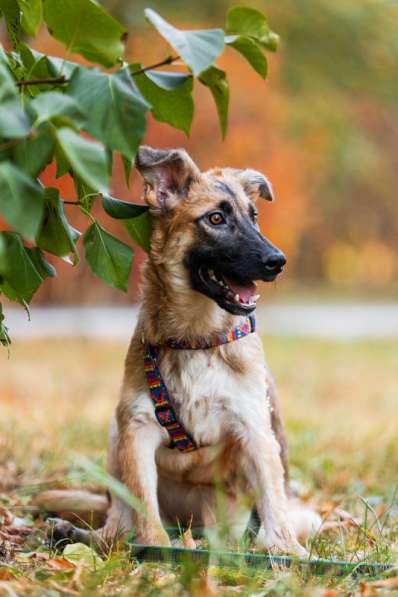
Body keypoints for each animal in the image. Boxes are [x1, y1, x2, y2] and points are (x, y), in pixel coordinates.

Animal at [52, 146, 320, 556]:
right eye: (216, 218)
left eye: (254, 217)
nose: (278, 261)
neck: (197, 338)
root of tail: (188, 522)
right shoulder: (138, 430)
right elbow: (144, 507)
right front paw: (156, 550)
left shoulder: (255, 429)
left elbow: (273, 499)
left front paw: (287, 553)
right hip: (116, 437)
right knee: (117, 527)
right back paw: (80, 535)